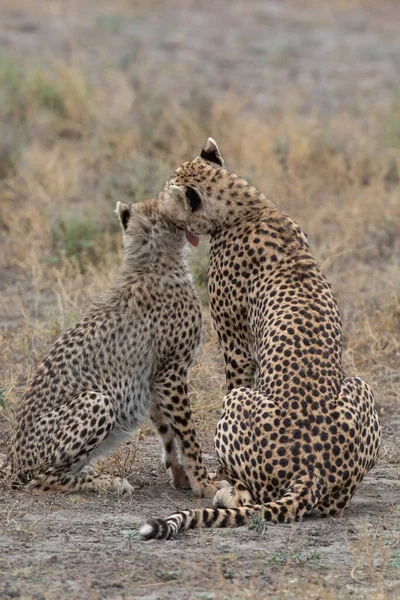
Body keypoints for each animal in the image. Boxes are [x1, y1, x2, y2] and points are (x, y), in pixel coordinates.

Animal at [4, 197, 217, 496]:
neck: (152, 259)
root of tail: (13, 459)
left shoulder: (153, 377)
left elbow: (167, 433)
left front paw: (182, 477)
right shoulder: (171, 371)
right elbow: (187, 434)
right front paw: (205, 484)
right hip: (98, 400)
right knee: (42, 480)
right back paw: (107, 481)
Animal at [140, 139, 382, 540]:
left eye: (165, 200)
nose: (158, 211)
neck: (248, 208)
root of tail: (311, 470)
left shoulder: (235, 346)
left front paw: (215, 476)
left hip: (240, 403)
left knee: (249, 495)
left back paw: (225, 493)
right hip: (360, 388)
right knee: (333, 505)